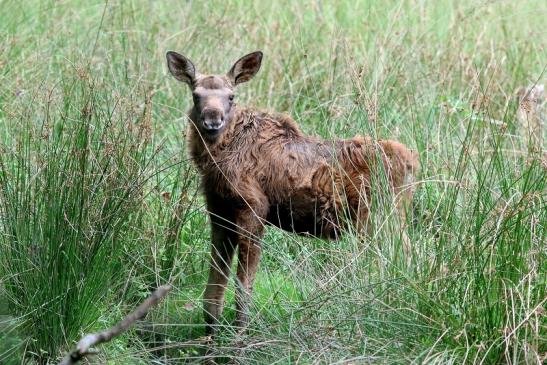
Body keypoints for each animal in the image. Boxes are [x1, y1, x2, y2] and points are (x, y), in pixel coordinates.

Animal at [167, 49, 420, 336]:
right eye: (195, 95)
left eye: (231, 96)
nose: (212, 120)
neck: (216, 158)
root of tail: (414, 162)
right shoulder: (219, 210)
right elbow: (213, 290)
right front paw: (210, 337)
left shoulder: (253, 208)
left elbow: (243, 289)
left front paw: (239, 337)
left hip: (380, 220)